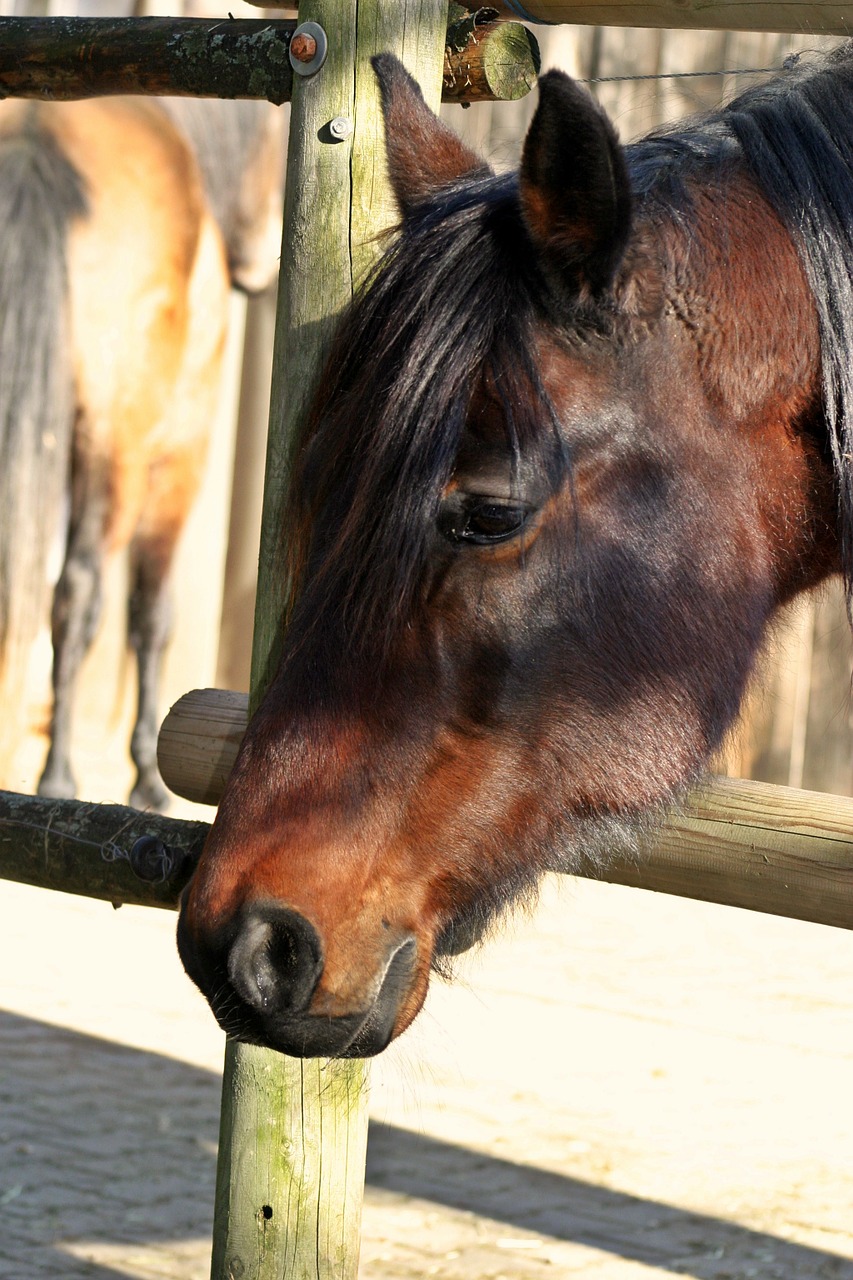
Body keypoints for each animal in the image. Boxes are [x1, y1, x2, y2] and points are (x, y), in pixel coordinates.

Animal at [0, 94, 281, 803]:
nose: (262, 260)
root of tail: (35, 144)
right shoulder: (179, 456)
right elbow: (152, 612)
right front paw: (149, 778)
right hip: (117, 451)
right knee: (78, 593)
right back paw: (58, 776)